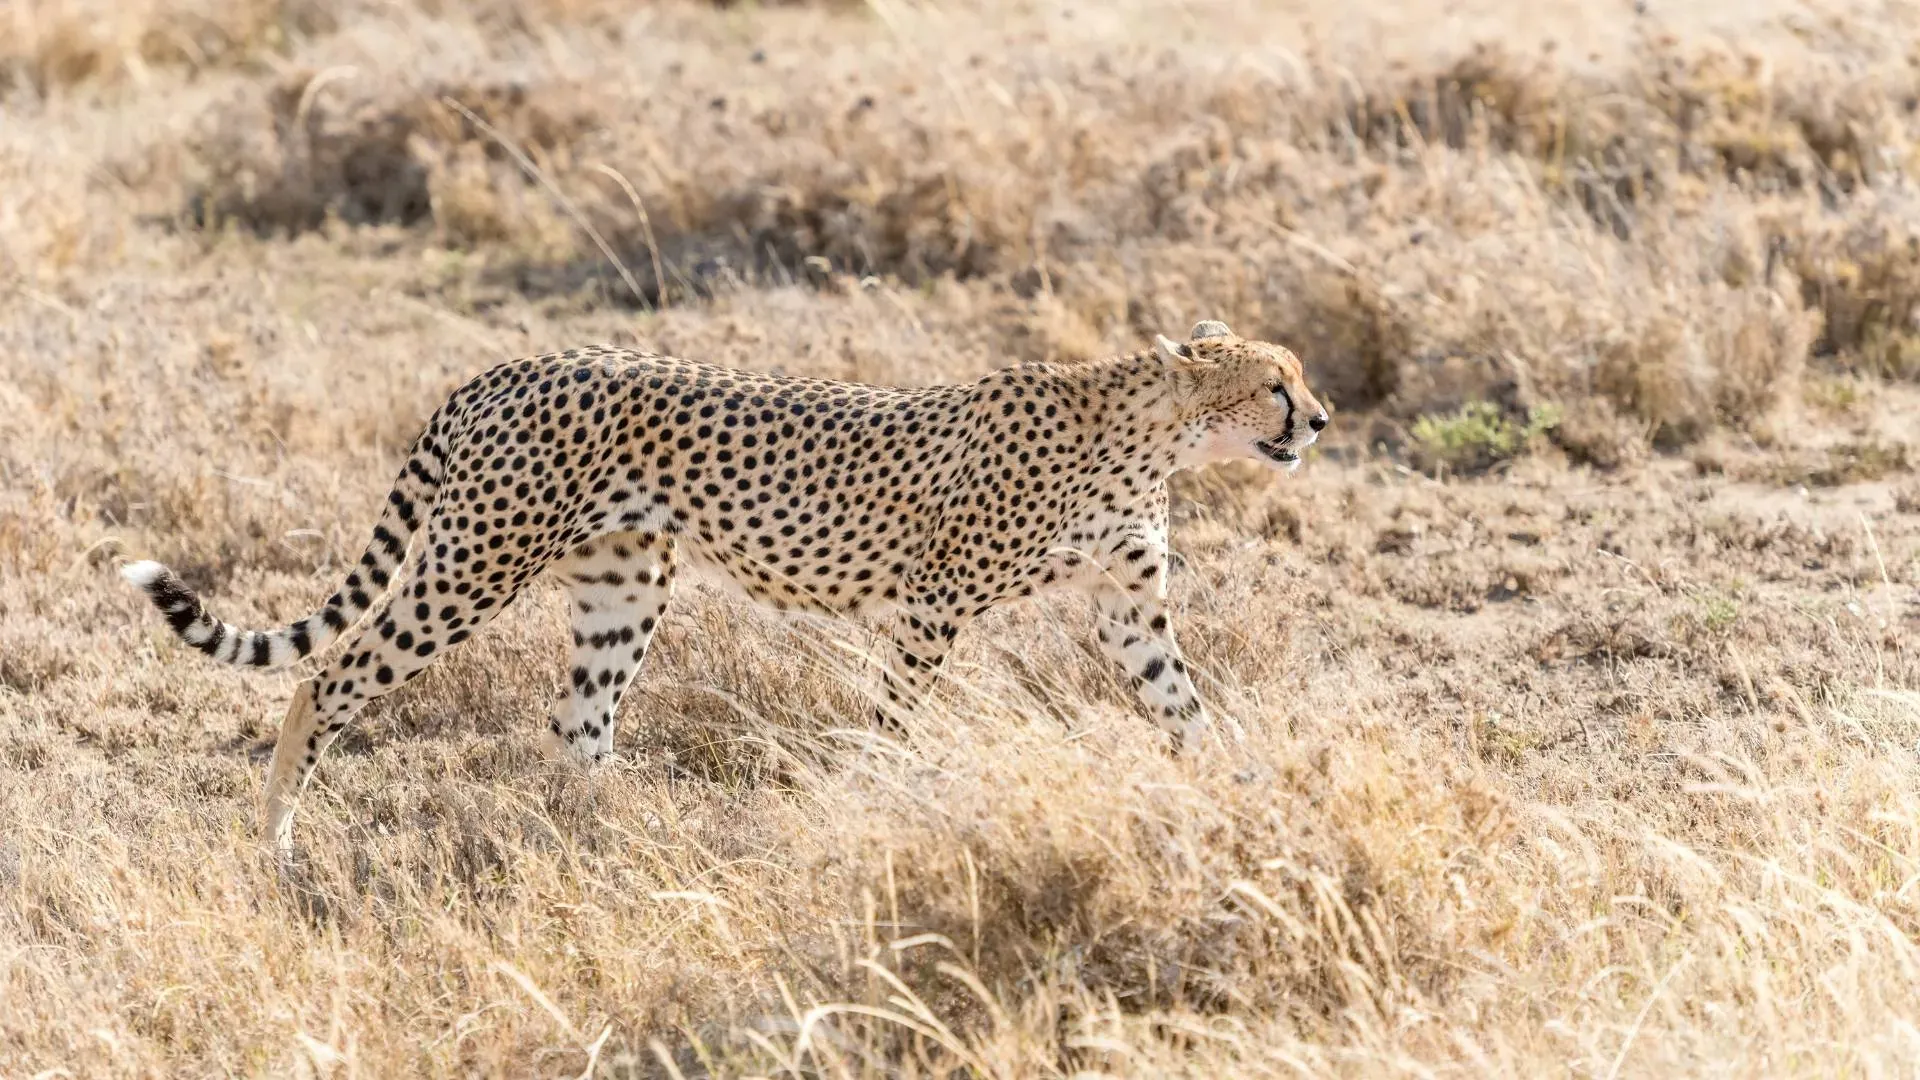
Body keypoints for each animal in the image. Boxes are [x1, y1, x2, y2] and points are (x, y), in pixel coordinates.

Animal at [121, 319, 1328, 854]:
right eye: (1276, 382)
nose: (1319, 421)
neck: (1150, 434)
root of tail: (504, 365)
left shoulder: (1128, 608)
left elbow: (1187, 710)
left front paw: (1248, 793)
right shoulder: (934, 606)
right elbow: (896, 723)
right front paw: (882, 799)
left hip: (622, 586)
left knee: (579, 725)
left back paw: (613, 846)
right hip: (476, 562)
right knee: (327, 677)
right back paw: (276, 843)